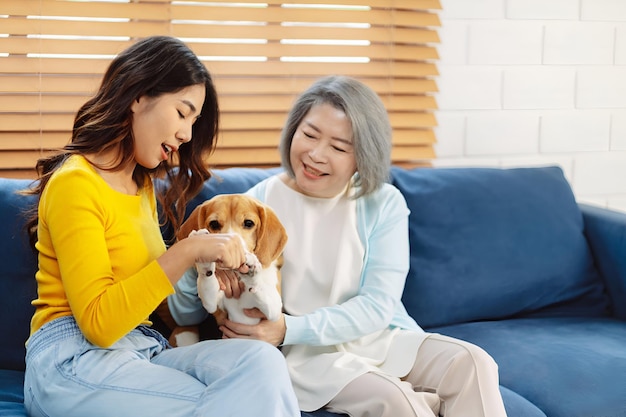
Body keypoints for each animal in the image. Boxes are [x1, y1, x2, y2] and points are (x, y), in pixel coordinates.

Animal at [176, 195, 288, 328]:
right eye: (214, 224)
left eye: (248, 223)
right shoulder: (213, 304)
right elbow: (207, 280)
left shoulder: (274, 311)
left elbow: (263, 293)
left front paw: (250, 273)